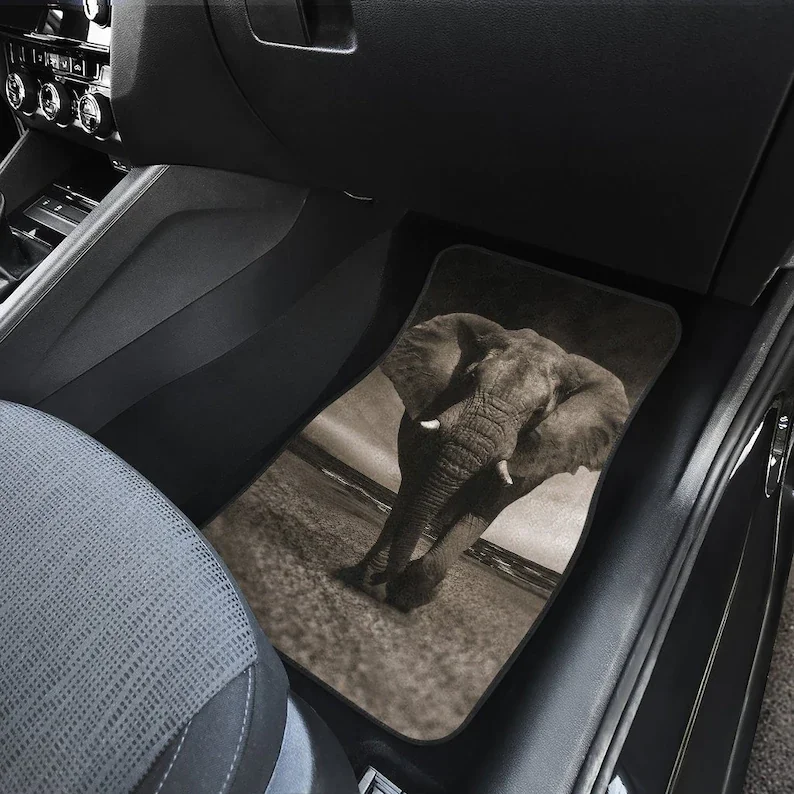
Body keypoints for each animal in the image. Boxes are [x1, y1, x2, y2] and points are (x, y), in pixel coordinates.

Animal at [338, 312, 629, 611]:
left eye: (538, 412)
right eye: (469, 379)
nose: (387, 580)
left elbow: (480, 513)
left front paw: (409, 595)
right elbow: (418, 488)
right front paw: (381, 585)